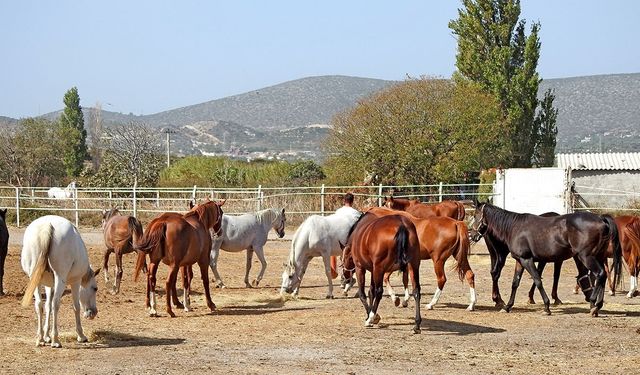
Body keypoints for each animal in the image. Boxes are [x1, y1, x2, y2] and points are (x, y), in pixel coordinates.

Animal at [21, 216, 100, 348]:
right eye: (95, 288)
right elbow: (76, 306)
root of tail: (47, 225)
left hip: (35, 279)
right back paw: (56, 340)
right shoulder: (76, 282)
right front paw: (81, 335)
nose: (93, 313)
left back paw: (40, 339)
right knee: (55, 304)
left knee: (39, 304)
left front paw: (46, 336)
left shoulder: (49, 285)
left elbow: (47, 306)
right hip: (60, 278)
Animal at [470, 203, 620, 318]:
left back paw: (595, 304)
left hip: (587, 257)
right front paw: (507, 306)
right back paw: (597, 305)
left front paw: (547, 307)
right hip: (598, 257)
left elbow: (537, 280)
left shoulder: (527, 260)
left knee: (600, 274)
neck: (514, 227)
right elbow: (515, 283)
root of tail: (601, 219)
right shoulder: (520, 261)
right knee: (603, 276)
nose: (472, 235)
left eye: (475, 216)